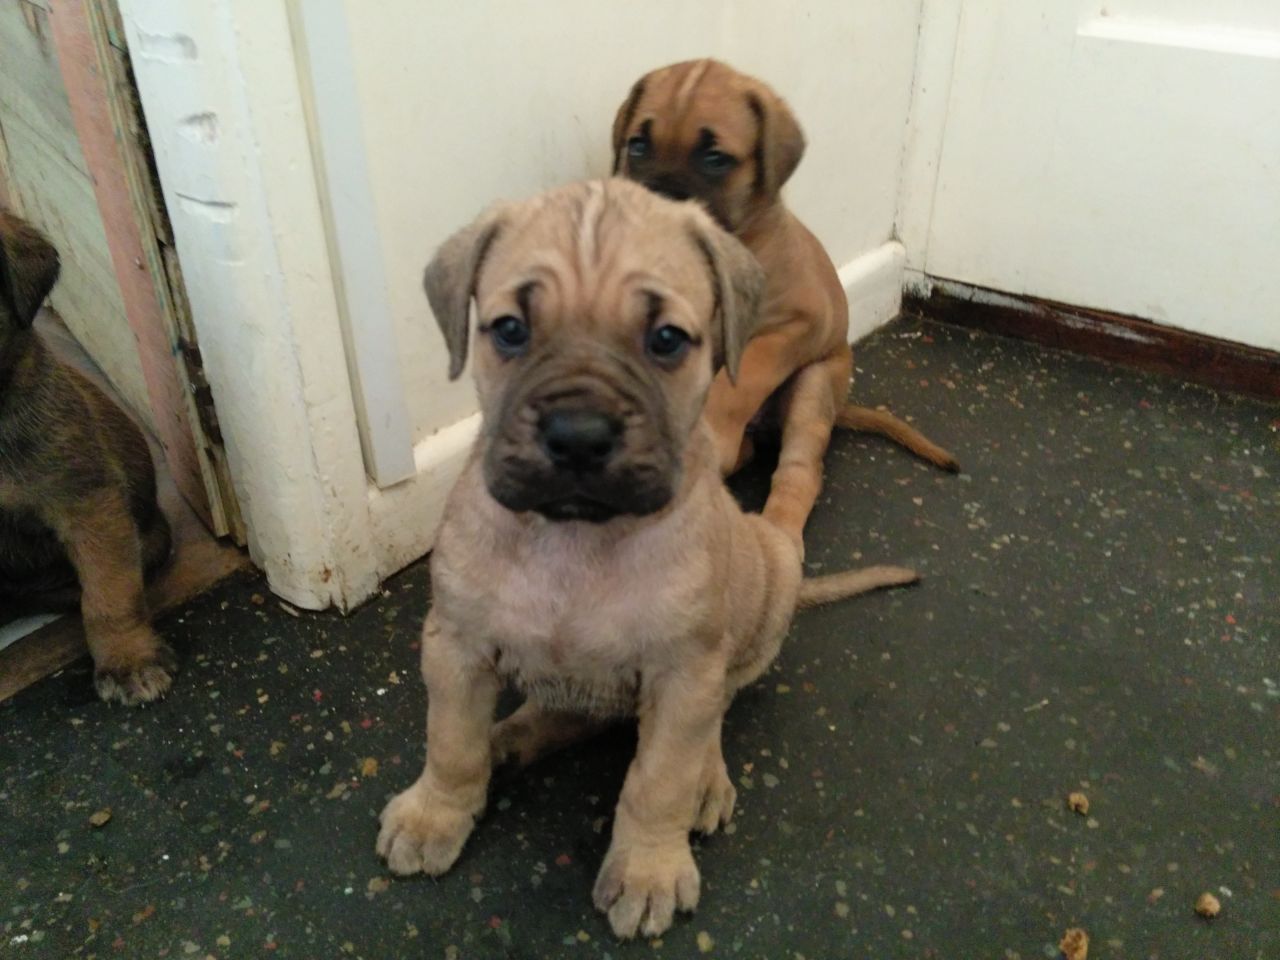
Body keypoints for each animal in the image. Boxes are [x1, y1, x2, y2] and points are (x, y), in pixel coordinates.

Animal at [373, 180, 916, 942]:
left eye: (666, 340)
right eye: (510, 330)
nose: (577, 436)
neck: (575, 538)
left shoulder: (681, 673)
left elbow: (658, 779)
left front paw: (649, 869)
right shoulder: (456, 645)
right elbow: (450, 741)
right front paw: (436, 812)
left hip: (767, 585)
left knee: (717, 708)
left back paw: (706, 778)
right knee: (577, 714)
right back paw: (511, 738)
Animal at [611, 62, 962, 547]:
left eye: (715, 158)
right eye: (639, 145)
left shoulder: (798, 324)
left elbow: (742, 378)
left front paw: (715, 431)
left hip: (813, 389)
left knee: (799, 472)